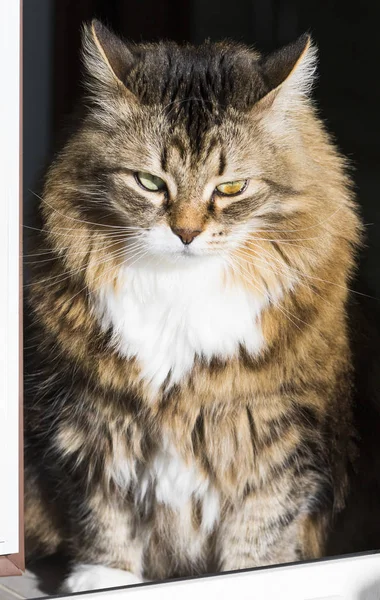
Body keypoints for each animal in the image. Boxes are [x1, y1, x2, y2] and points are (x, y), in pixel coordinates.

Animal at [23, 19, 362, 596]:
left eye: (231, 188)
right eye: (150, 183)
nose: (185, 233)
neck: (179, 290)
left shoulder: (278, 430)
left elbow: (261, 528)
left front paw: (256, 579)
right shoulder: (90, 416)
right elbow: (103, 511)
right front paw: (102, 578)